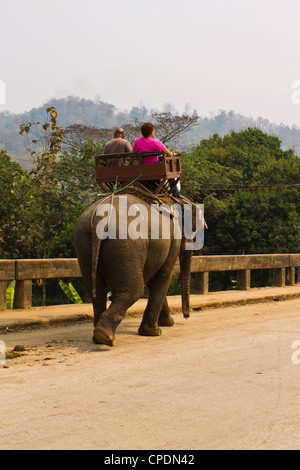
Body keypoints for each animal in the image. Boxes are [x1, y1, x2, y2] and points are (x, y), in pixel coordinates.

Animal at [73, 193, 200, 346]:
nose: (186, 316)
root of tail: (100, 215)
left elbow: (152, 280)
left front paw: (166, 323)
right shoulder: (172, 239)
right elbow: (163, 276)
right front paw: (155, 331)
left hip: (83, 242)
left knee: (97, 291)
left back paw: (97, 337)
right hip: (126, 243)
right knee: (134, 291)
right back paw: (104, 336)